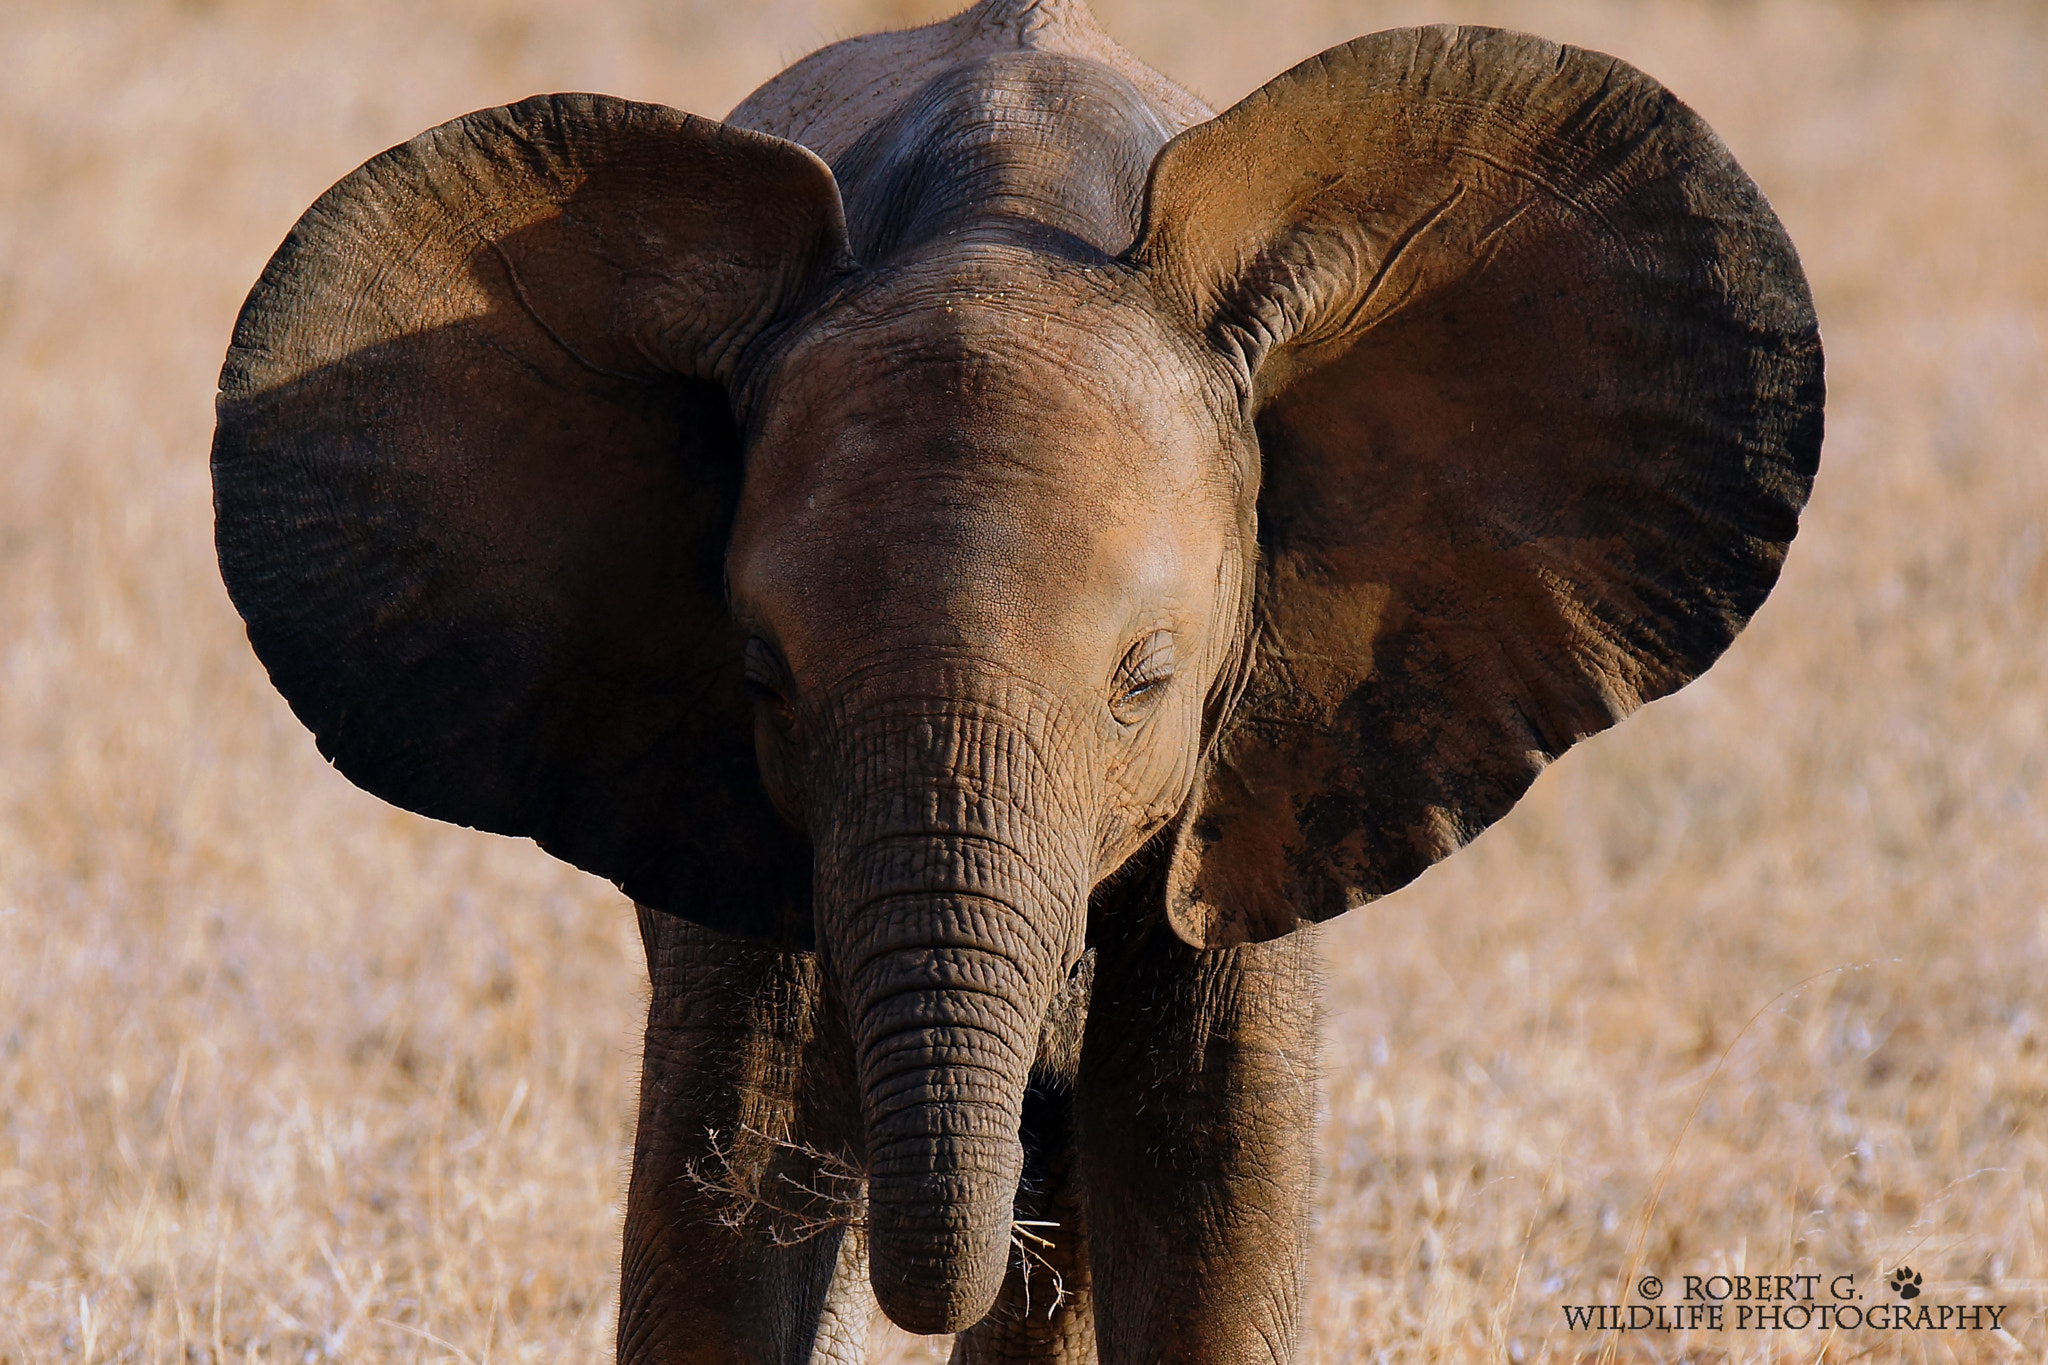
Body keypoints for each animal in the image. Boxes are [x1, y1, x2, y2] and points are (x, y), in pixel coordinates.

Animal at [211, 0, 1826, 1358]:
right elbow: (724, 1192)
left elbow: (1209, 1193)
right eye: (763, 675)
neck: (1006, 203)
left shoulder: (1255, 786)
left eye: (1147, 679)